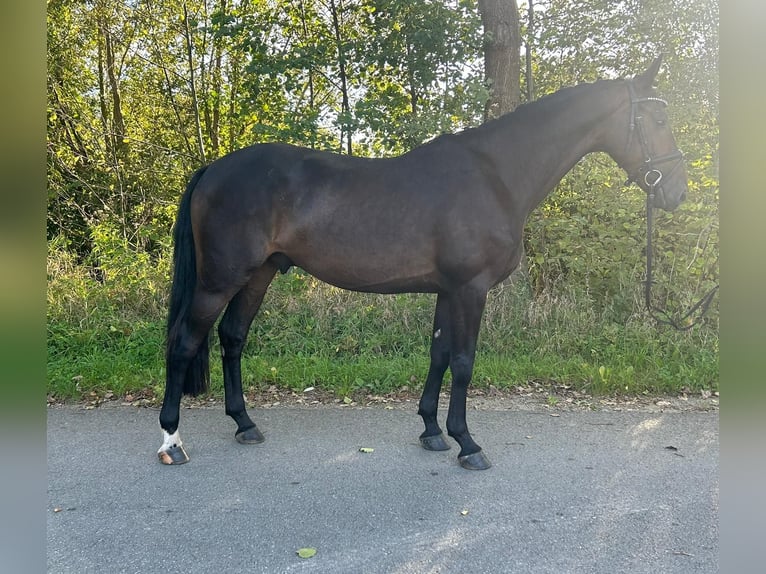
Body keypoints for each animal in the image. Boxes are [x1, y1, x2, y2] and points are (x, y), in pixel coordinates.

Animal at [159, 57, 688, 472]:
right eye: (657, 119)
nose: (678, 193)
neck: (495, 176)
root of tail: (213, 169)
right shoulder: (471, 288)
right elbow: (464, 361)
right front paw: (467, 443)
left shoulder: (447, 289)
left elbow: (438, 354)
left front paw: (432, 430)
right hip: (219, 280)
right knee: (184, 342)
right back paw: (172, 441)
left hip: (260, 273)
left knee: (232, 338)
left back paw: (245, 423)